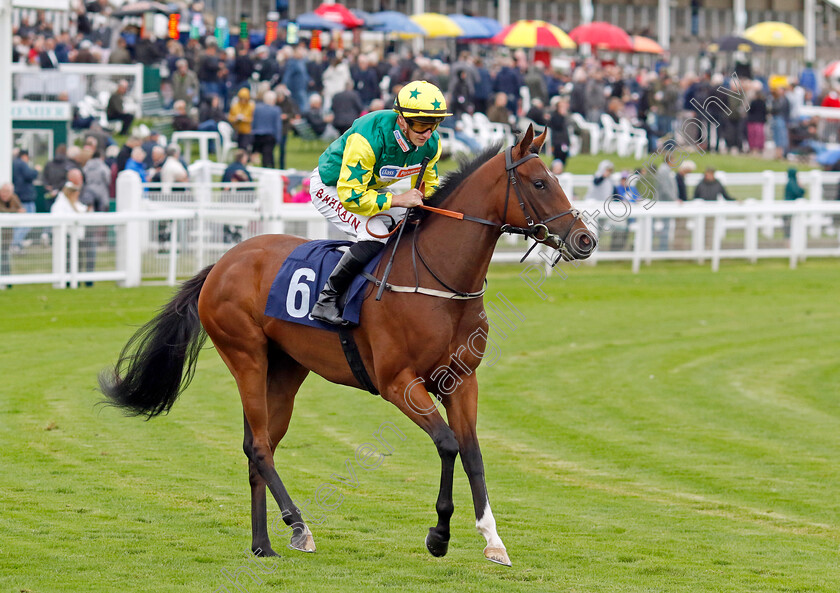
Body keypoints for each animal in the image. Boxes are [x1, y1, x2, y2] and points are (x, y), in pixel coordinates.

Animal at [100, 125, 596, 564]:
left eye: (557, 179)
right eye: (540, 182)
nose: (585, 239)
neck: (438, 281)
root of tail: (222, 263)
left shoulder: (460, 381)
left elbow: (473, 453)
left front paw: (493, 541)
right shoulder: (398, 383)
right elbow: (448, 443)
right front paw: (438, 535)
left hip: (286, 369)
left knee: (259, 448)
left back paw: (263, 544)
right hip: (246, 357)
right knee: (259, 446)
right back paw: (299, 526)